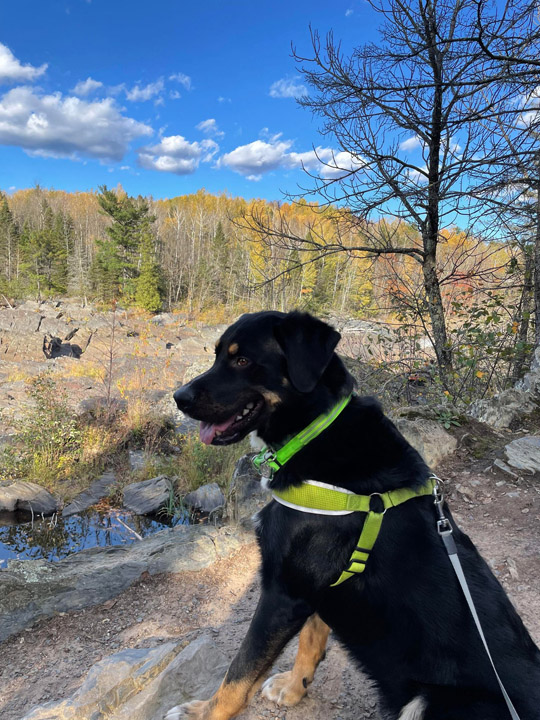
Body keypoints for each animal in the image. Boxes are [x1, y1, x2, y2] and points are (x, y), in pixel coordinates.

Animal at [169, 310, 540, 720]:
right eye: (217, 354)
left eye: (243, 360)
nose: (178, 397)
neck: (314, 431)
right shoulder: (318, 587)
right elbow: (311, 638)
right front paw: (294, 687)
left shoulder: (283, 593)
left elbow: (238, 673)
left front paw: (203, 712)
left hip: (434, 702)